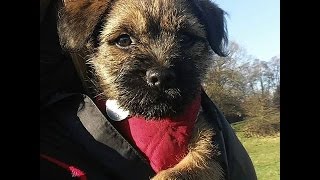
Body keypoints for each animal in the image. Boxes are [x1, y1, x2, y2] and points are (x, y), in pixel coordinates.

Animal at [57, 0, 228, 179]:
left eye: (185, 38)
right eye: (123, 40)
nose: (161, 77)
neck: (156, 121)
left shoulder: (207, 153)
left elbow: (179, 170)